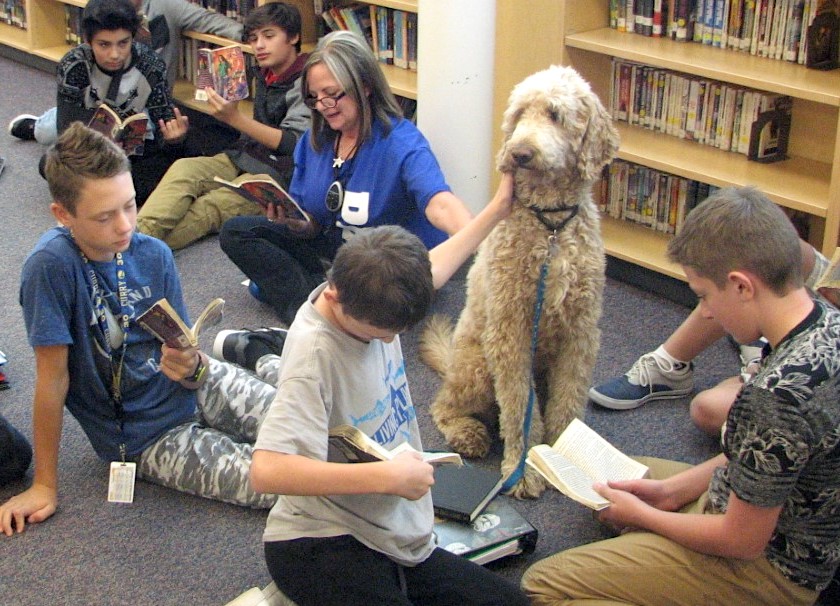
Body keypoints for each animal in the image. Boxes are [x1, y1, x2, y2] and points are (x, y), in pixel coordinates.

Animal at [424, 66, 620, 502]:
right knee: (444, 405)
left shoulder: (581, 332)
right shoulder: (510, 332)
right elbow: (517, 407)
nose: (520, 153)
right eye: (518, 114)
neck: (551, 226)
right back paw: (467, 432)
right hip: (477, 365)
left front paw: (563, 456)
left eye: (555, 114)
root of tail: (451, 361)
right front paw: (524, 467)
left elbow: (568, 402)